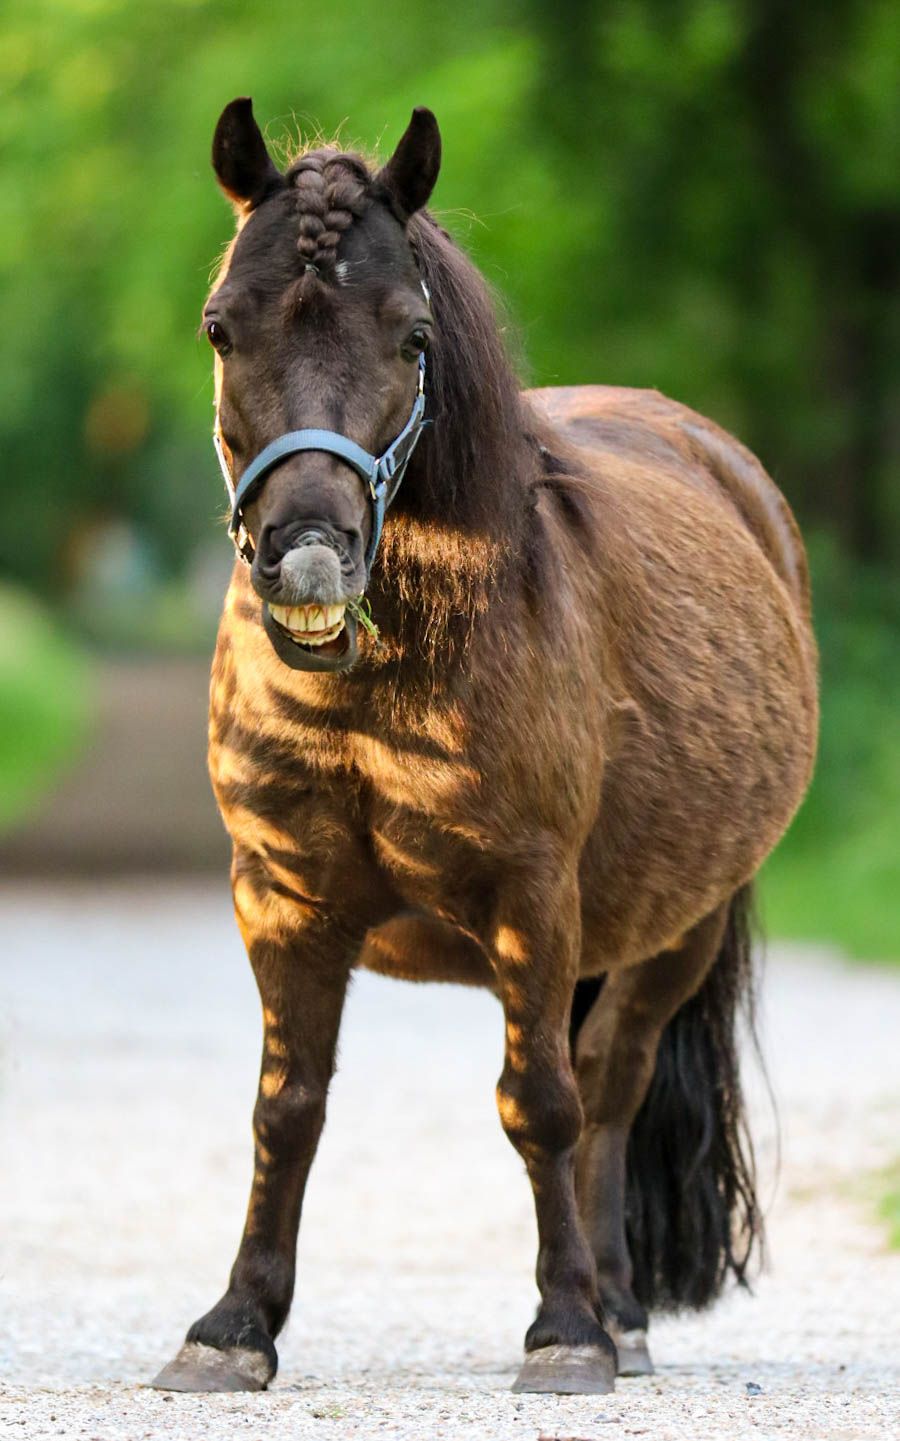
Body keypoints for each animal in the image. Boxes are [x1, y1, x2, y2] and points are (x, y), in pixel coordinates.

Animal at [152, 99, 817, 1397]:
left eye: (412, 334)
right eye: (220, 327)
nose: (309, 558)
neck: (392, 681)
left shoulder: (534, 899)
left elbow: (542, 1105)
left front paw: (565, 1330)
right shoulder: (280, 896)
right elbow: (285, 1107)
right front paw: (234, 1325)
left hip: (676, 932)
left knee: (607, 1089)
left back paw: (618, 1312)